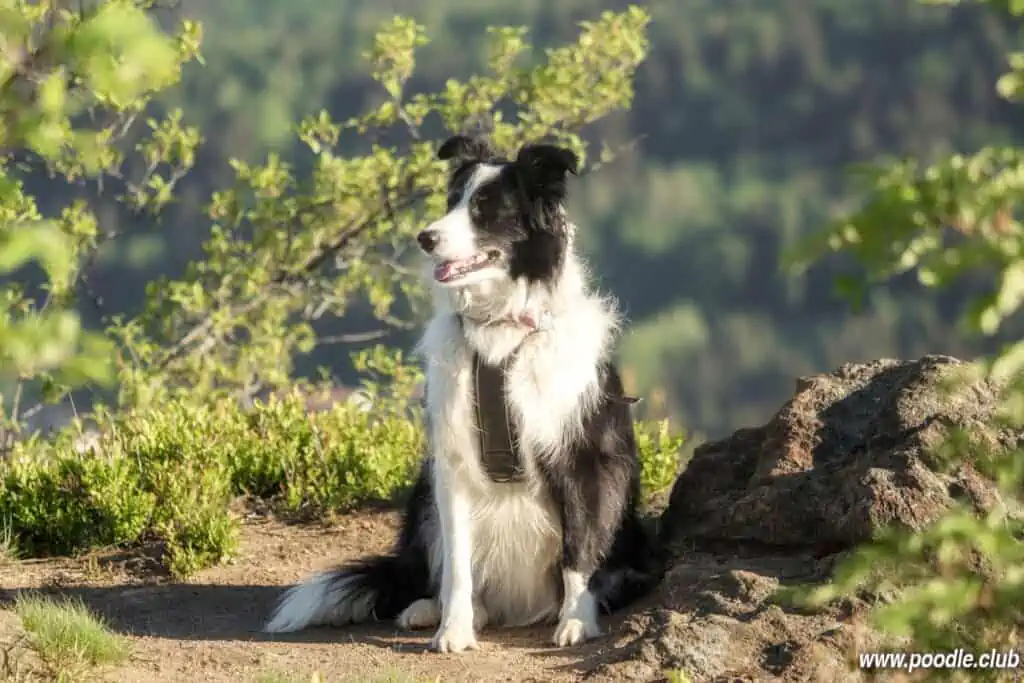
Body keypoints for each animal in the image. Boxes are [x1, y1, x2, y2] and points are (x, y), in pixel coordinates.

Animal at [264, 133, 663, 651]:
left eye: (485, 209)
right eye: (452, 201)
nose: (425, 238)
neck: (501, 330)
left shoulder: (584, 458)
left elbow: (580, 548)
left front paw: (577, 621)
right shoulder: (452, 465)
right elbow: (457, 565)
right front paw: (453, 629)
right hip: (423, 498)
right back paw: (433, 610)